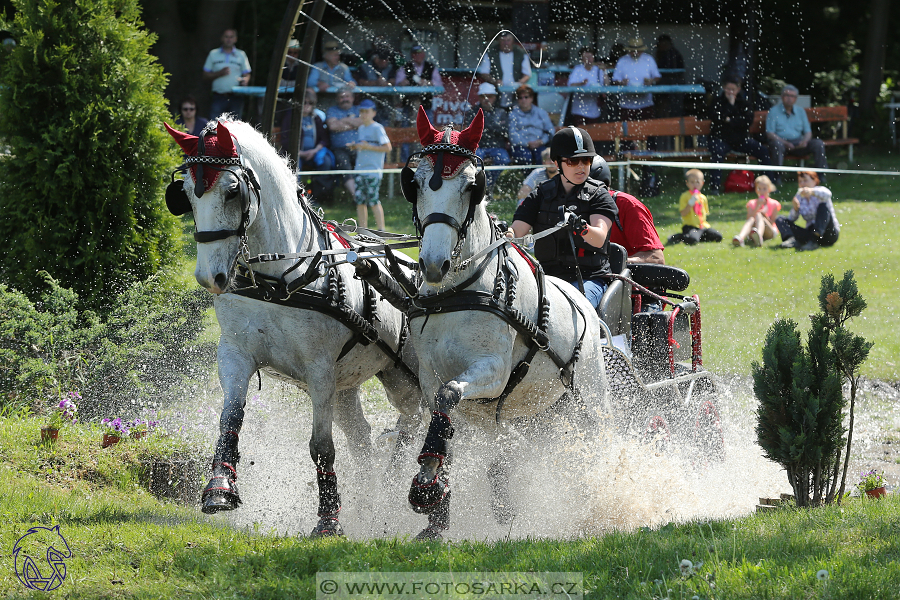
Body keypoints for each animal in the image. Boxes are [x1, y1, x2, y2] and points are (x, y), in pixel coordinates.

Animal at [164, 119, 422, 536]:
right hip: (348, 384)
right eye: (185, 193)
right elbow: (229, 419)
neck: (280, 276)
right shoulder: (235, 354)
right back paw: (371, 498)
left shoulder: (320, 370)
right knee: (362, 436)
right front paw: (220, 487)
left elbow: (321, 446)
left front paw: (329, 519)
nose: (209, 277)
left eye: (232, 190)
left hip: (404, 376)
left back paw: (394, 486)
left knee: (414, 420)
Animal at [398, 108, 608, 540]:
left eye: (471, 187)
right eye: (415, 184)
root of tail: (581, 297)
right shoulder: (428, 376)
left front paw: (426, 483)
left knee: (600, 443)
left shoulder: (492, 372)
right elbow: (442, 415)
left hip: (590, 396)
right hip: (525, 413)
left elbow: (448, 395)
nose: (433, 264)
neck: (456, 293)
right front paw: (437, 508)